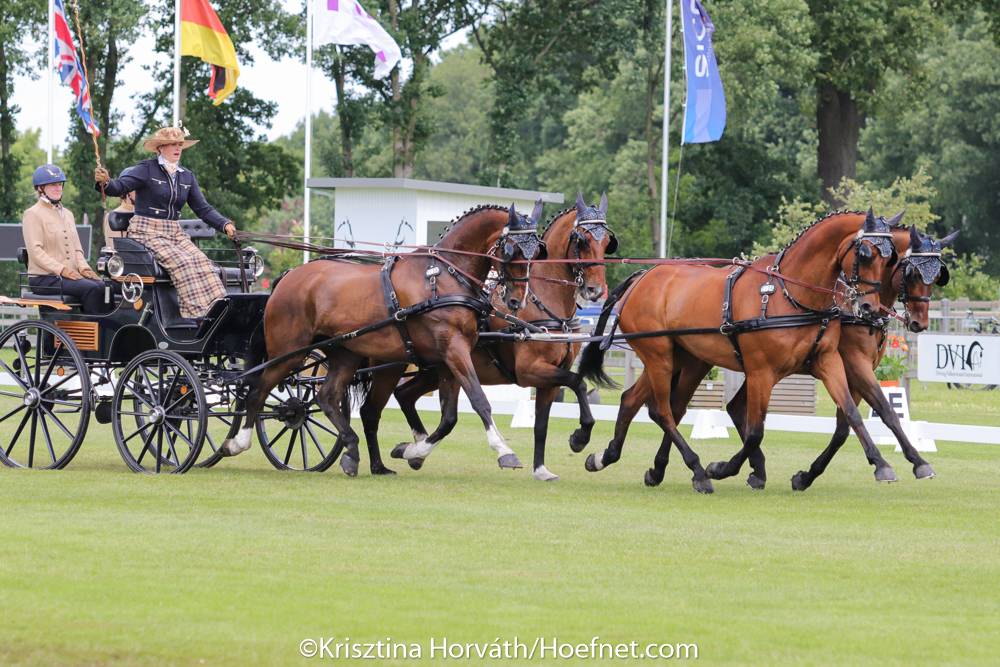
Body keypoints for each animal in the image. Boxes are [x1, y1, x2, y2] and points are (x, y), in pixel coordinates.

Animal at [223, 204, 548, 474]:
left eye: (536, 253)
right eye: (511, 250)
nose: (517, 300)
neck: (443, 276)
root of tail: (288, 277)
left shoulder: (449, 357)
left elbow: (449, 418)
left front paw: (413, 451)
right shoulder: (453, 350)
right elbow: (480, 401)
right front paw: (504, 451)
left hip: (345, 353)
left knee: (327, 396)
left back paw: (354, 453)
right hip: (291, 352)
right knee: (259, 389)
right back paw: (237, 442)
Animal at [388, 193, 616, 480]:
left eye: (607, 242)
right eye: (582, 240)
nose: (595, 290)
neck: (542, 301)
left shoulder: (550, 377)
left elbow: (542, 424)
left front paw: (541, 469)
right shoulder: (530, 370)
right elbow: (578, 382)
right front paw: (580, 437)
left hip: (434, 369)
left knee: (405, 395)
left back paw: (413, 450)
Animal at [580, 211, 900, 494]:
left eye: (890, 258)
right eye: (865, 254)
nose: (870, 307)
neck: (789, 293)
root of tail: (643, 276)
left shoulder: (828, 361)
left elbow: (851, 414)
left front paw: (881, 463)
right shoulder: (761, 372)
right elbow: (755, 431)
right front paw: (722, 468)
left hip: (681, 358)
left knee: (635, 401)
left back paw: (610, 458)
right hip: (659, 357)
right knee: (662, 411)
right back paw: (698, 472)